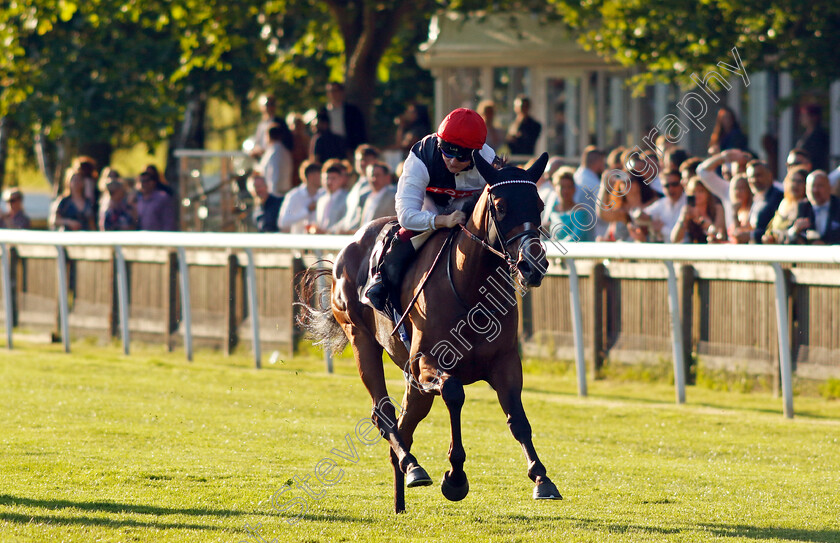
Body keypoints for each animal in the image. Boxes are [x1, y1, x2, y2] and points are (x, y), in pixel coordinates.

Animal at [298, 151, 560, 512]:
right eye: (501, 205)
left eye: (539, 204)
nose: (532, 265)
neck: (470, 288)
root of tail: (349, 245)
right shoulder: (425, 362)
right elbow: (454, 392)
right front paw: (455, 477)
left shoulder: (505, 362)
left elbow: (517, 419)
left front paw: (542, 478)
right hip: (361, 340)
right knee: (385, 415)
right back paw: (413, 467)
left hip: (412, 382)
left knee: (405, 422)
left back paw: (400, 495)